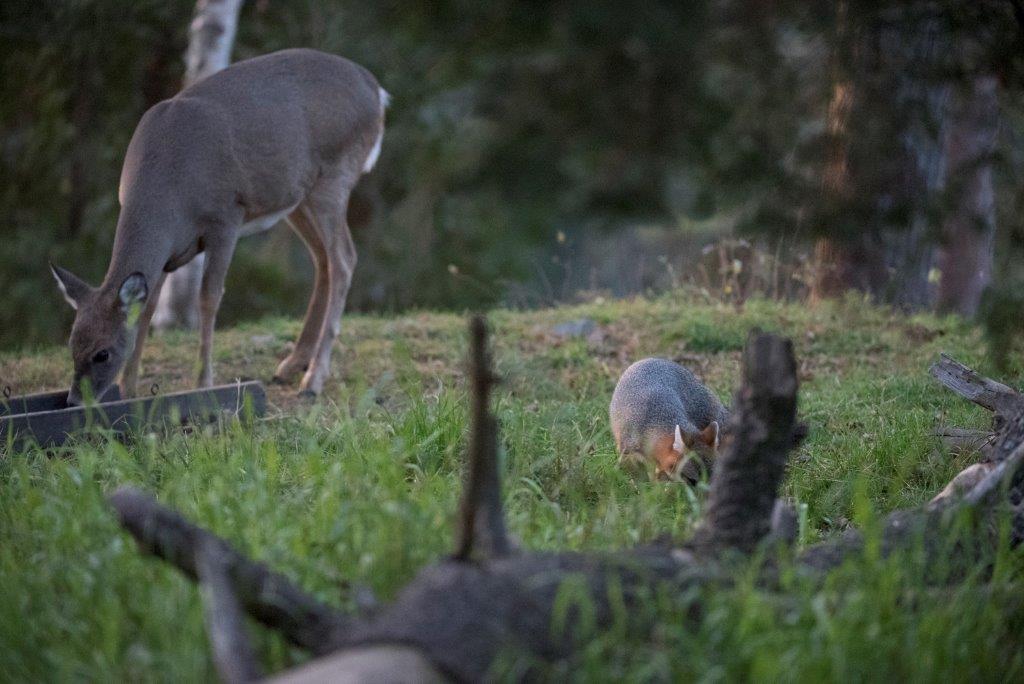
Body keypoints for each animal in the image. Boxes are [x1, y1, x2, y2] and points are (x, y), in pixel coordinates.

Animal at [50, 49, 388, 405]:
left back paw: (313, 380)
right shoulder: (170, 252)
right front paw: (129, 389)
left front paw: (204, 384)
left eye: (102, 353)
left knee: (344, 259)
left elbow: (208, 296)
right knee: (323, 260)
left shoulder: (226, 217)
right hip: (297, 197)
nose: (74, 400)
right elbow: (150, 306)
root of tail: (377, 91)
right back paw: (292, 364)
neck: (168, 189)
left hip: (335, 176)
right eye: (72, 345)